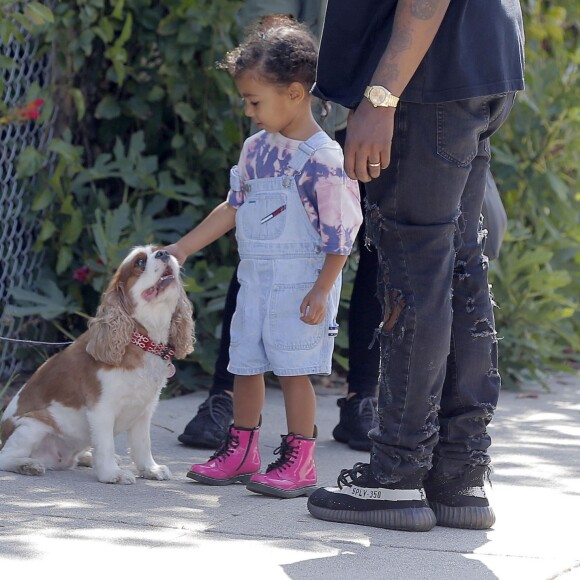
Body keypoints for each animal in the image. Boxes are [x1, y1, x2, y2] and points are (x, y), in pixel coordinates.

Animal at [0, 246, 195, 484]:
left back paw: (85, 457)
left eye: (160, 250)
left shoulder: (144, 410)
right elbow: (106, 445)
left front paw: (150, 469)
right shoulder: (101, 409)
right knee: (5, 458)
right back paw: (28, 465)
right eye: (140, 263)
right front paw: (112, 474)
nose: (164, 254)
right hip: (32, 426)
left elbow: (142, 444)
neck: (141, 339)